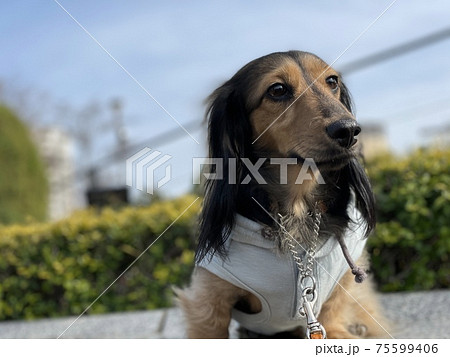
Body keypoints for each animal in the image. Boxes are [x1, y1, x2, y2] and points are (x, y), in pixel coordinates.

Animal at [178, 50, 388, 336]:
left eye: (332, 81)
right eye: (277, 90)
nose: (348, 130)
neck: (296, 206)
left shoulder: (339, 289)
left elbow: (334, 318)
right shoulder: (209, 301)